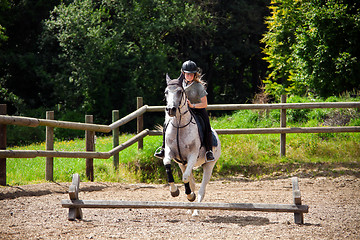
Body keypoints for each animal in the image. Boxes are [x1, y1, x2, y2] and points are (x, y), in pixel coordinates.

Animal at [162, 73, 219, 216]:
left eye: (180, 91)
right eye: (166, 92)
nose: (171, 110)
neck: (179, 125)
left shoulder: (192, 156)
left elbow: (185, 178)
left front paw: (189, 196)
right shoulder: (170, 153)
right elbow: (168, 167)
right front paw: (174, 191)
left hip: (209, 165)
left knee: (201, 189)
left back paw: (196, 210)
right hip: (182, 164)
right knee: (192, 182)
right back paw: (190, 207)